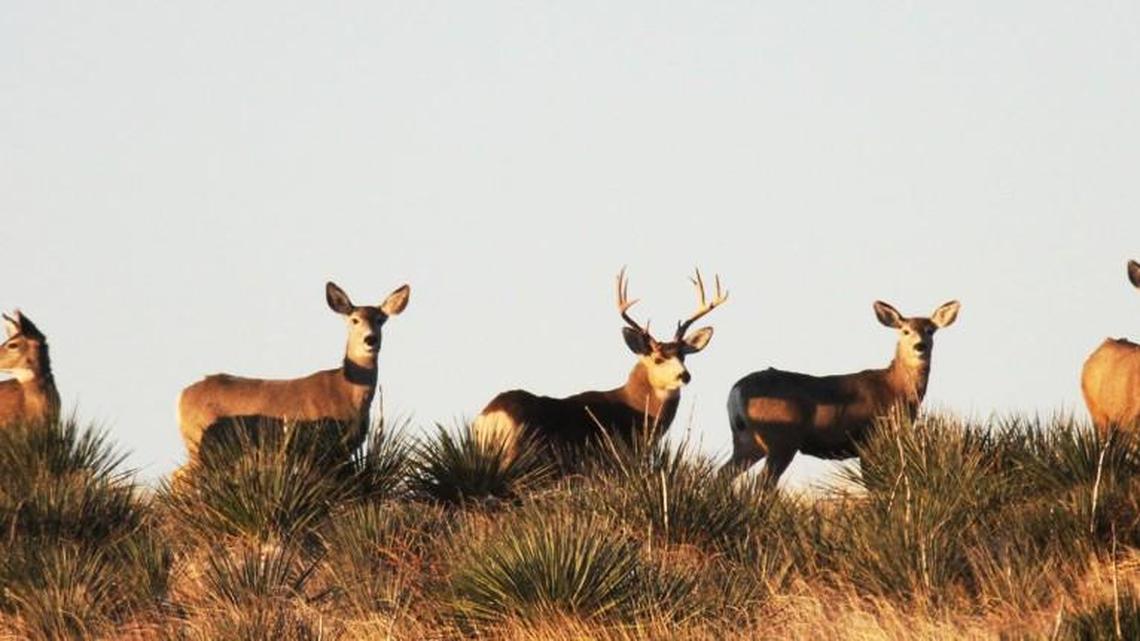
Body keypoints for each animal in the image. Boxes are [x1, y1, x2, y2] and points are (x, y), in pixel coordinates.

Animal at [177, 281, 410, 467]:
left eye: (381, 319)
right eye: (354, 320)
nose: (370, 339)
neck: (345, 393)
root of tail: (181, 397)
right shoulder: (322, 445)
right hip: (198, 442)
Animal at [473, 268, 727, 466]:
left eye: (683, 356)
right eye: (658, 359)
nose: (685, 375)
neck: (638, 413)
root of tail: (490, 417)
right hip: (519, 454)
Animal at [724, 299, 960, 485]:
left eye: (930, 330)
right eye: (905, 331)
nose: (920, 346)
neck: (896, 390)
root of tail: (737, 390)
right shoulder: (870, 439)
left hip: (747, 440)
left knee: (723, 474)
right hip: (781, 439)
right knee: (762, 484)